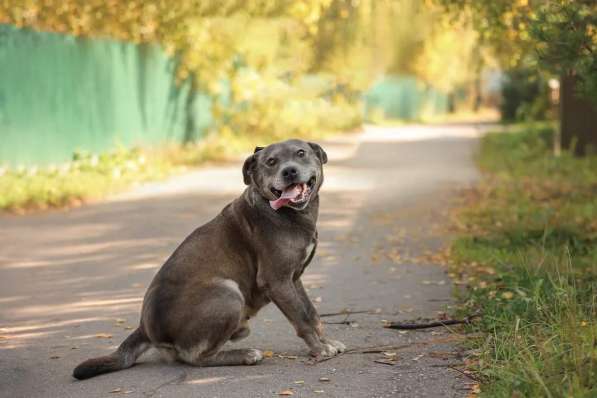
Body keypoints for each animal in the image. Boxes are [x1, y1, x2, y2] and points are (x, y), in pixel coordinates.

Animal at [73, 139, 344, 380]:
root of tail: (145, 329)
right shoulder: (276, 281)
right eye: (271, 162)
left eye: (301, 153)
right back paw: (245, 354)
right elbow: (301, 319)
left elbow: (312, 313)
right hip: (227, 293)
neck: (285, 212)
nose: (289, 171)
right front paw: (319, 350)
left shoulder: (293, 279)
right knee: (194, 357)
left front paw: (327, 341)